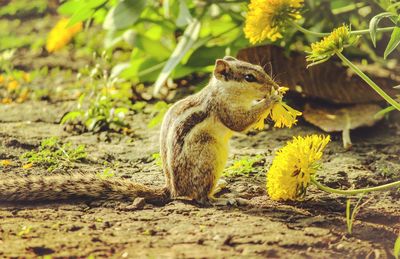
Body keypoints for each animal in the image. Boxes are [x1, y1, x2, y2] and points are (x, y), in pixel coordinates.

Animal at [0, 57, 280, 207]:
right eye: (249, 77)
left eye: (260, 69)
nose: (273, 85)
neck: (221, 90)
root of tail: (172, 189)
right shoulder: (223, 108)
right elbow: (239, 122)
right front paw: (271, 100)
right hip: (208, 157)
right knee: (198, 198)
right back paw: (219, 198)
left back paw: (221, 189)